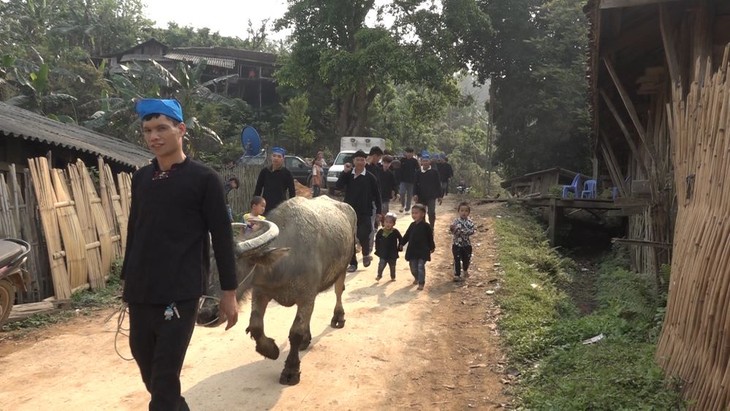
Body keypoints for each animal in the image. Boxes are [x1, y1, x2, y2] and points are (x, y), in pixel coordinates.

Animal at [198, 196, 356, 386]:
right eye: (205, 269)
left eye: (234, 271)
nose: (206, 314)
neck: (286, 263)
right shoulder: (260, 292)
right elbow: (256, 326)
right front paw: (271, 350)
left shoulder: (306, 296)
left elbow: (295, 332)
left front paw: (291, 370)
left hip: (343, 267)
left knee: (339, 291)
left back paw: (338, 318)